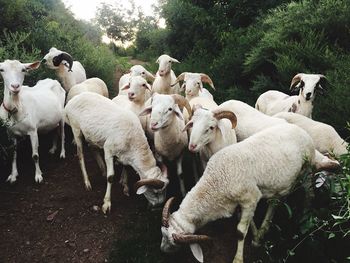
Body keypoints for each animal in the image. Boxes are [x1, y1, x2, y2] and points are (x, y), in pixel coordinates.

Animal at [161, 124, 340, 263]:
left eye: (174, 244)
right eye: (162, 233)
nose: (162, 250)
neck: (217, 181)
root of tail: (302, 131)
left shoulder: (251, 197)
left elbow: (240, 232)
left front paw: (238, 258)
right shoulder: (246, 200)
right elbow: (246, 219)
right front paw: (255, 234)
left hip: (307, 169)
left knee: (309, 193)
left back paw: (304, 216)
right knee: (276, 200)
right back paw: (264, 226)